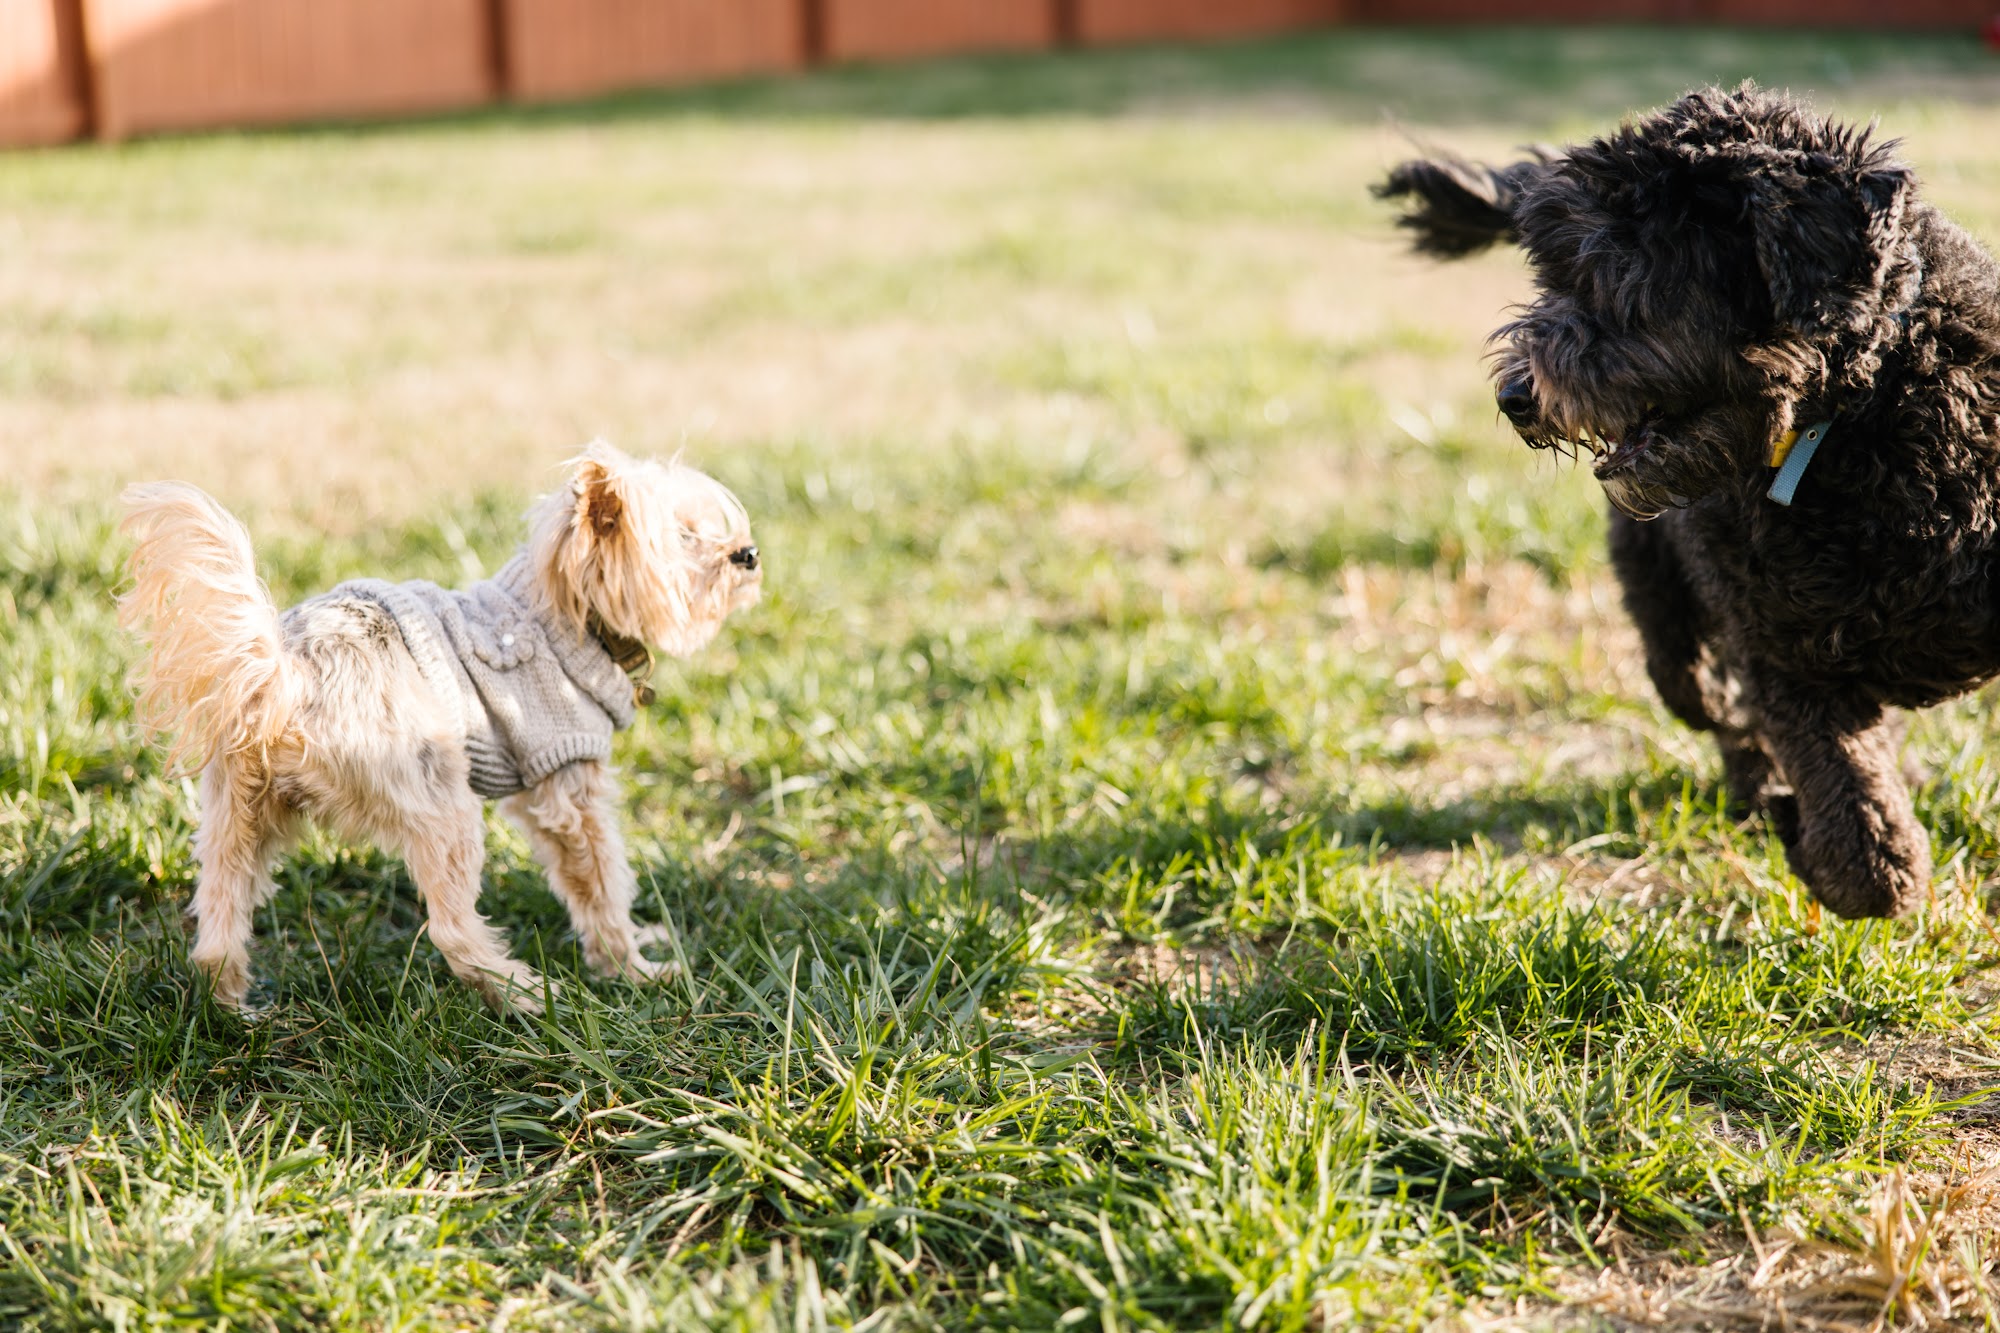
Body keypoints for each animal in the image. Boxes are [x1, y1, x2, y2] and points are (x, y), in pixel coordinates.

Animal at [119, 440, 756, 1012]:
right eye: (685, 539)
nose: (747, 554)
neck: (563, 609)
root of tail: (287, 675)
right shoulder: (566, 783)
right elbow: (602, 885)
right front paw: (634, 969)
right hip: (442, 803)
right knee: (452, 932)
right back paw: (526, 993)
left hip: (237, 812)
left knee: (217, 924)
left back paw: (232, 1010)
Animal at [1376, 83, 2000, 912]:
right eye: (1553, 274)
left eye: (1611, 273)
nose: (1515, 396)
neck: (1857, 421)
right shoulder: (1781, 655)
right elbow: (1864, 852)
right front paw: (1812, 840)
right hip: (1667, 618)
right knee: (1705, 699)